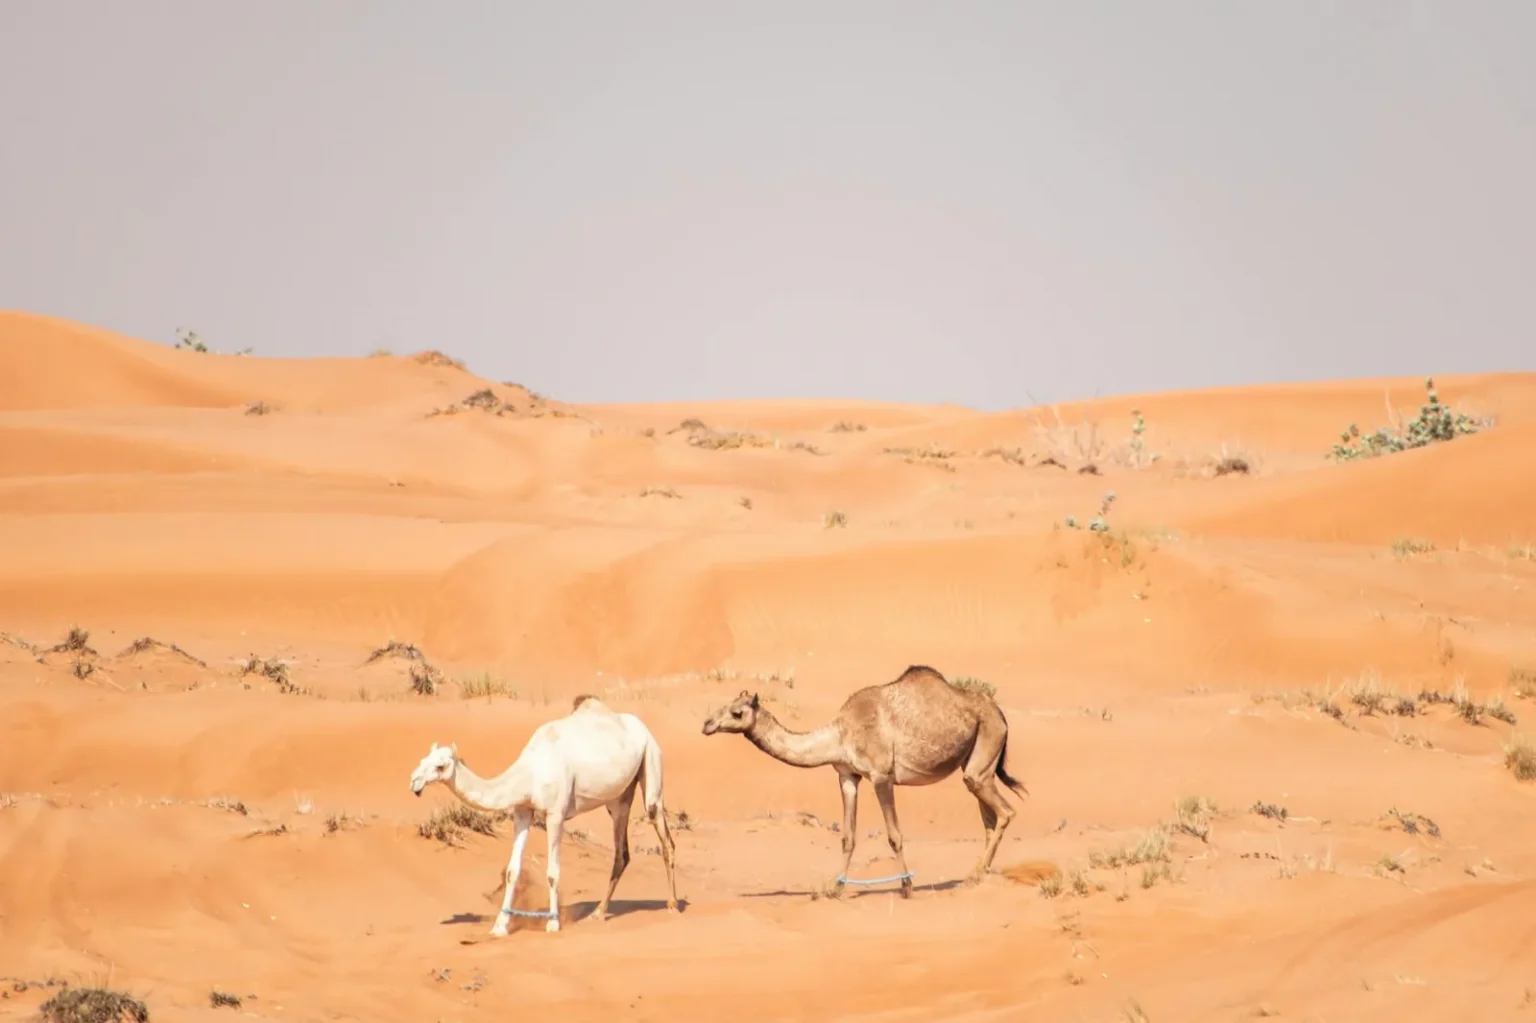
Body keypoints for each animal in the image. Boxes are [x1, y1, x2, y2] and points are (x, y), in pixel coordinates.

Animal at [408, 694, 679, 935]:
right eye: (422, 759)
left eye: (440, 766)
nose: (414, 782)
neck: (531, 771)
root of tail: (642, 727)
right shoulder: (522, 811)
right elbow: (512, 871)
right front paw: (499, 927)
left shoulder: (555, 813)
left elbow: (552, 873)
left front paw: (553, 923)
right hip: (618, 799)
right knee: (622, 852)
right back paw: (599, 912)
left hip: (652, 761)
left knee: (664, 834)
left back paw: (673, 905)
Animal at [701, 664, 1027, 897]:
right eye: (724, 706)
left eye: (736, 712)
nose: (707, 724)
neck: (840, 734)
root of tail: (1000, 713)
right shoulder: (847, 775)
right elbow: (848, 836)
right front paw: (835, 888)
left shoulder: (881, 775)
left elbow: (894, 835)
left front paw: (906, 887)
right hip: (976, 762)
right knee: (989, 817)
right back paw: (979, 875)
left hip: (986, 745)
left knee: (1006, 811)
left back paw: (973, 875)